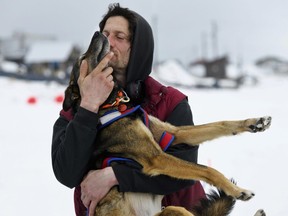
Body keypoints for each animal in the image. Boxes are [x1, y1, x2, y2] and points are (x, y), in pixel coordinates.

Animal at [62, 31, 270, 215]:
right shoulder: (157, 157)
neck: (112, 104)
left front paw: (255, 123)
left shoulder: (174, 133)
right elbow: (208, 170)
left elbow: (221, 124)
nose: (98, 33)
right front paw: (239, 191)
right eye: (82, 59)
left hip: (170, 208)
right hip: (169, 210)